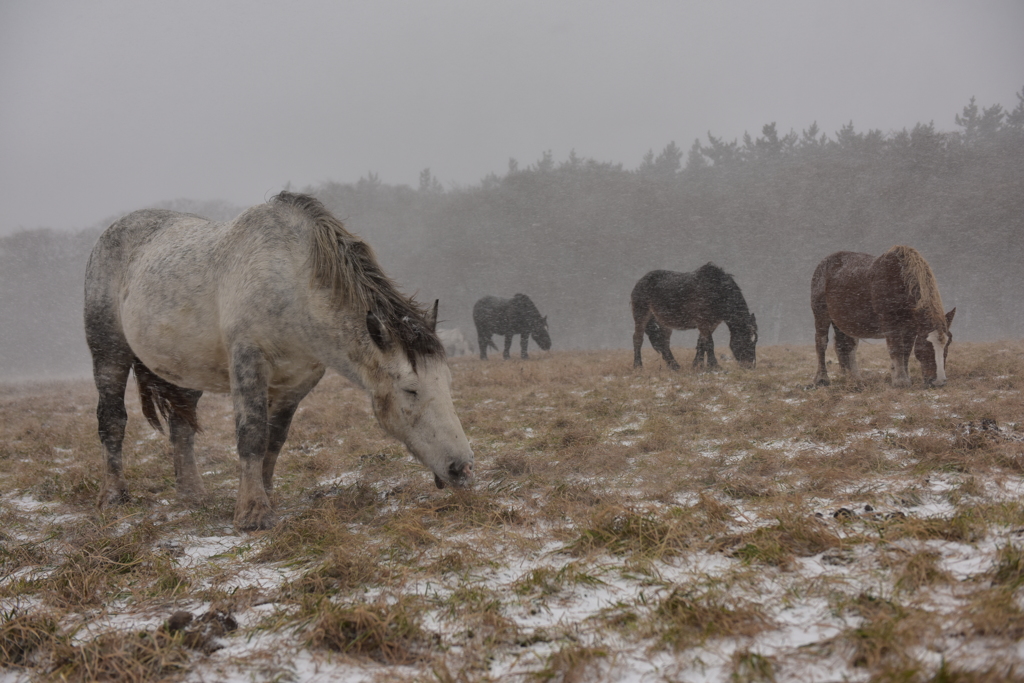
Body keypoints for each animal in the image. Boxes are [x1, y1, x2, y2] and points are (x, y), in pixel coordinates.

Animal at [84, 189, 475, 532]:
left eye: (448, 382)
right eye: (410, 390)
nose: (463, 468)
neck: (294, 284)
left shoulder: (297, 382)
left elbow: (274, 439)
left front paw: (265, 498)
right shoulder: (249, 363)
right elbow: (252, 434)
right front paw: (253, 514)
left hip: (185, 371)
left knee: (181, 427)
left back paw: (193, 495)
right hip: (109, 352)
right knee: (113, 420)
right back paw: (113, 497)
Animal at [626, 264, 757, 370]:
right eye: (745, 340)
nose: (750, 366)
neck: (717, 291)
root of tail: (640, 281)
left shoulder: (712, 324)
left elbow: (701, 344)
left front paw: (697, 366)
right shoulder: (703, 323)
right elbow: (709, 343)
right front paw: (714, 366)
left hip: (664, 322)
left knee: (664, 342)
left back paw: (674, 366)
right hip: (641, 315)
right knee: (638, 339)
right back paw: (638, 366)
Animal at [811, 245, 954, 387]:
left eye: (948, 343)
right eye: (926, 343)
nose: (939, 381)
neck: (900, 281)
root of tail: (823, 264)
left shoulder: (911, 328)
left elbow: (906, 351)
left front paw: (904, 378)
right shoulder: (890, 322)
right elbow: (896, 349)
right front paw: (900, 381)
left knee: (847, 346)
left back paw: (854, 378)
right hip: (821, 315)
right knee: (821, 343)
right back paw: (822, 379)